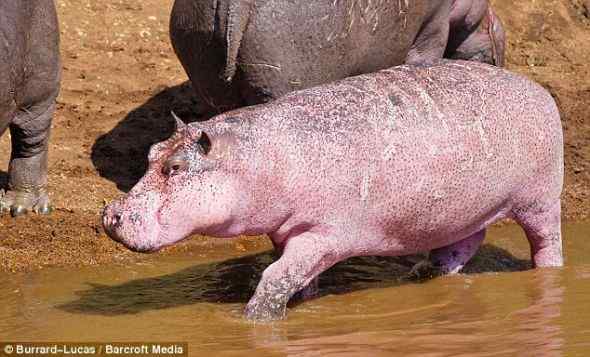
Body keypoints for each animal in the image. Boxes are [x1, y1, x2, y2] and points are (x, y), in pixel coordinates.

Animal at [104, 60, 568, 320]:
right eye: (151, 152)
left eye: (176, 167)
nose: (111, 214)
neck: (258, 159)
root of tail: (536, 87)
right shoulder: (284, 232)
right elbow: (294, 277)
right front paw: (305, 301)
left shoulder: (325, 234)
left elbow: (274, 279)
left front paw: (249, 320)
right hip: (460, 210)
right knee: (462, 245)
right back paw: (421, 275)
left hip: (540, 199)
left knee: (547, 244)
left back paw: (548, 276)